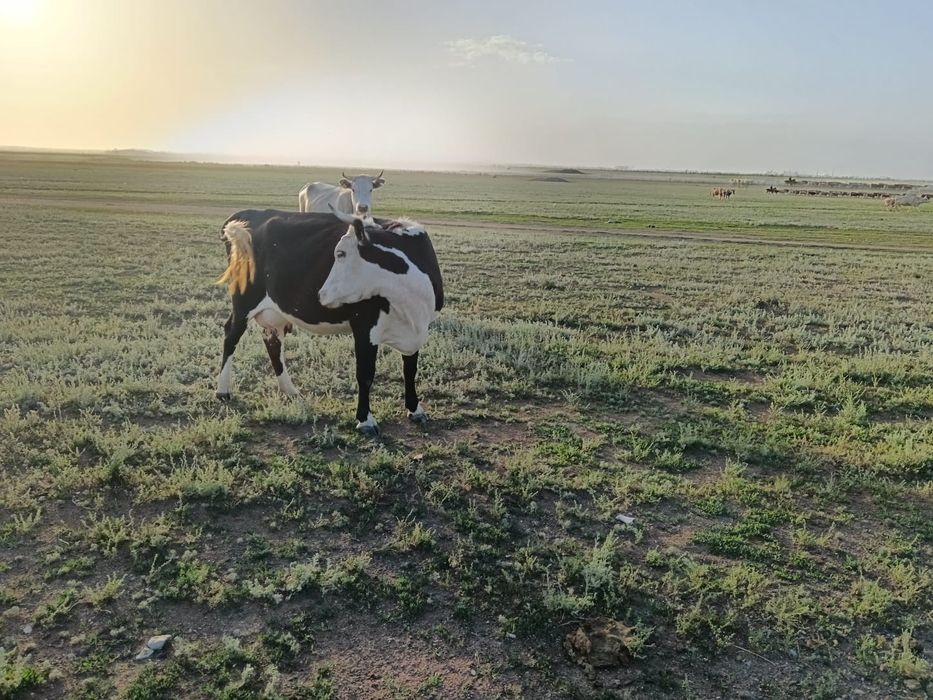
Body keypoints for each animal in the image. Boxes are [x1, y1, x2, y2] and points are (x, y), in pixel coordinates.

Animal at [215, 208, 443, 437]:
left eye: (340, 253)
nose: (321, 294)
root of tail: (248, 213)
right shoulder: (364, 328)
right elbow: (365, 374)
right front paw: (365, 420)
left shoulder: (417, 329)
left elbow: (410, 370)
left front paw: (415, 409)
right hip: (244, 298)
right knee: (231, 335)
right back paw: (223, 391)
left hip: (276, 310)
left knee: (272, 342)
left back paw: (291, 391)